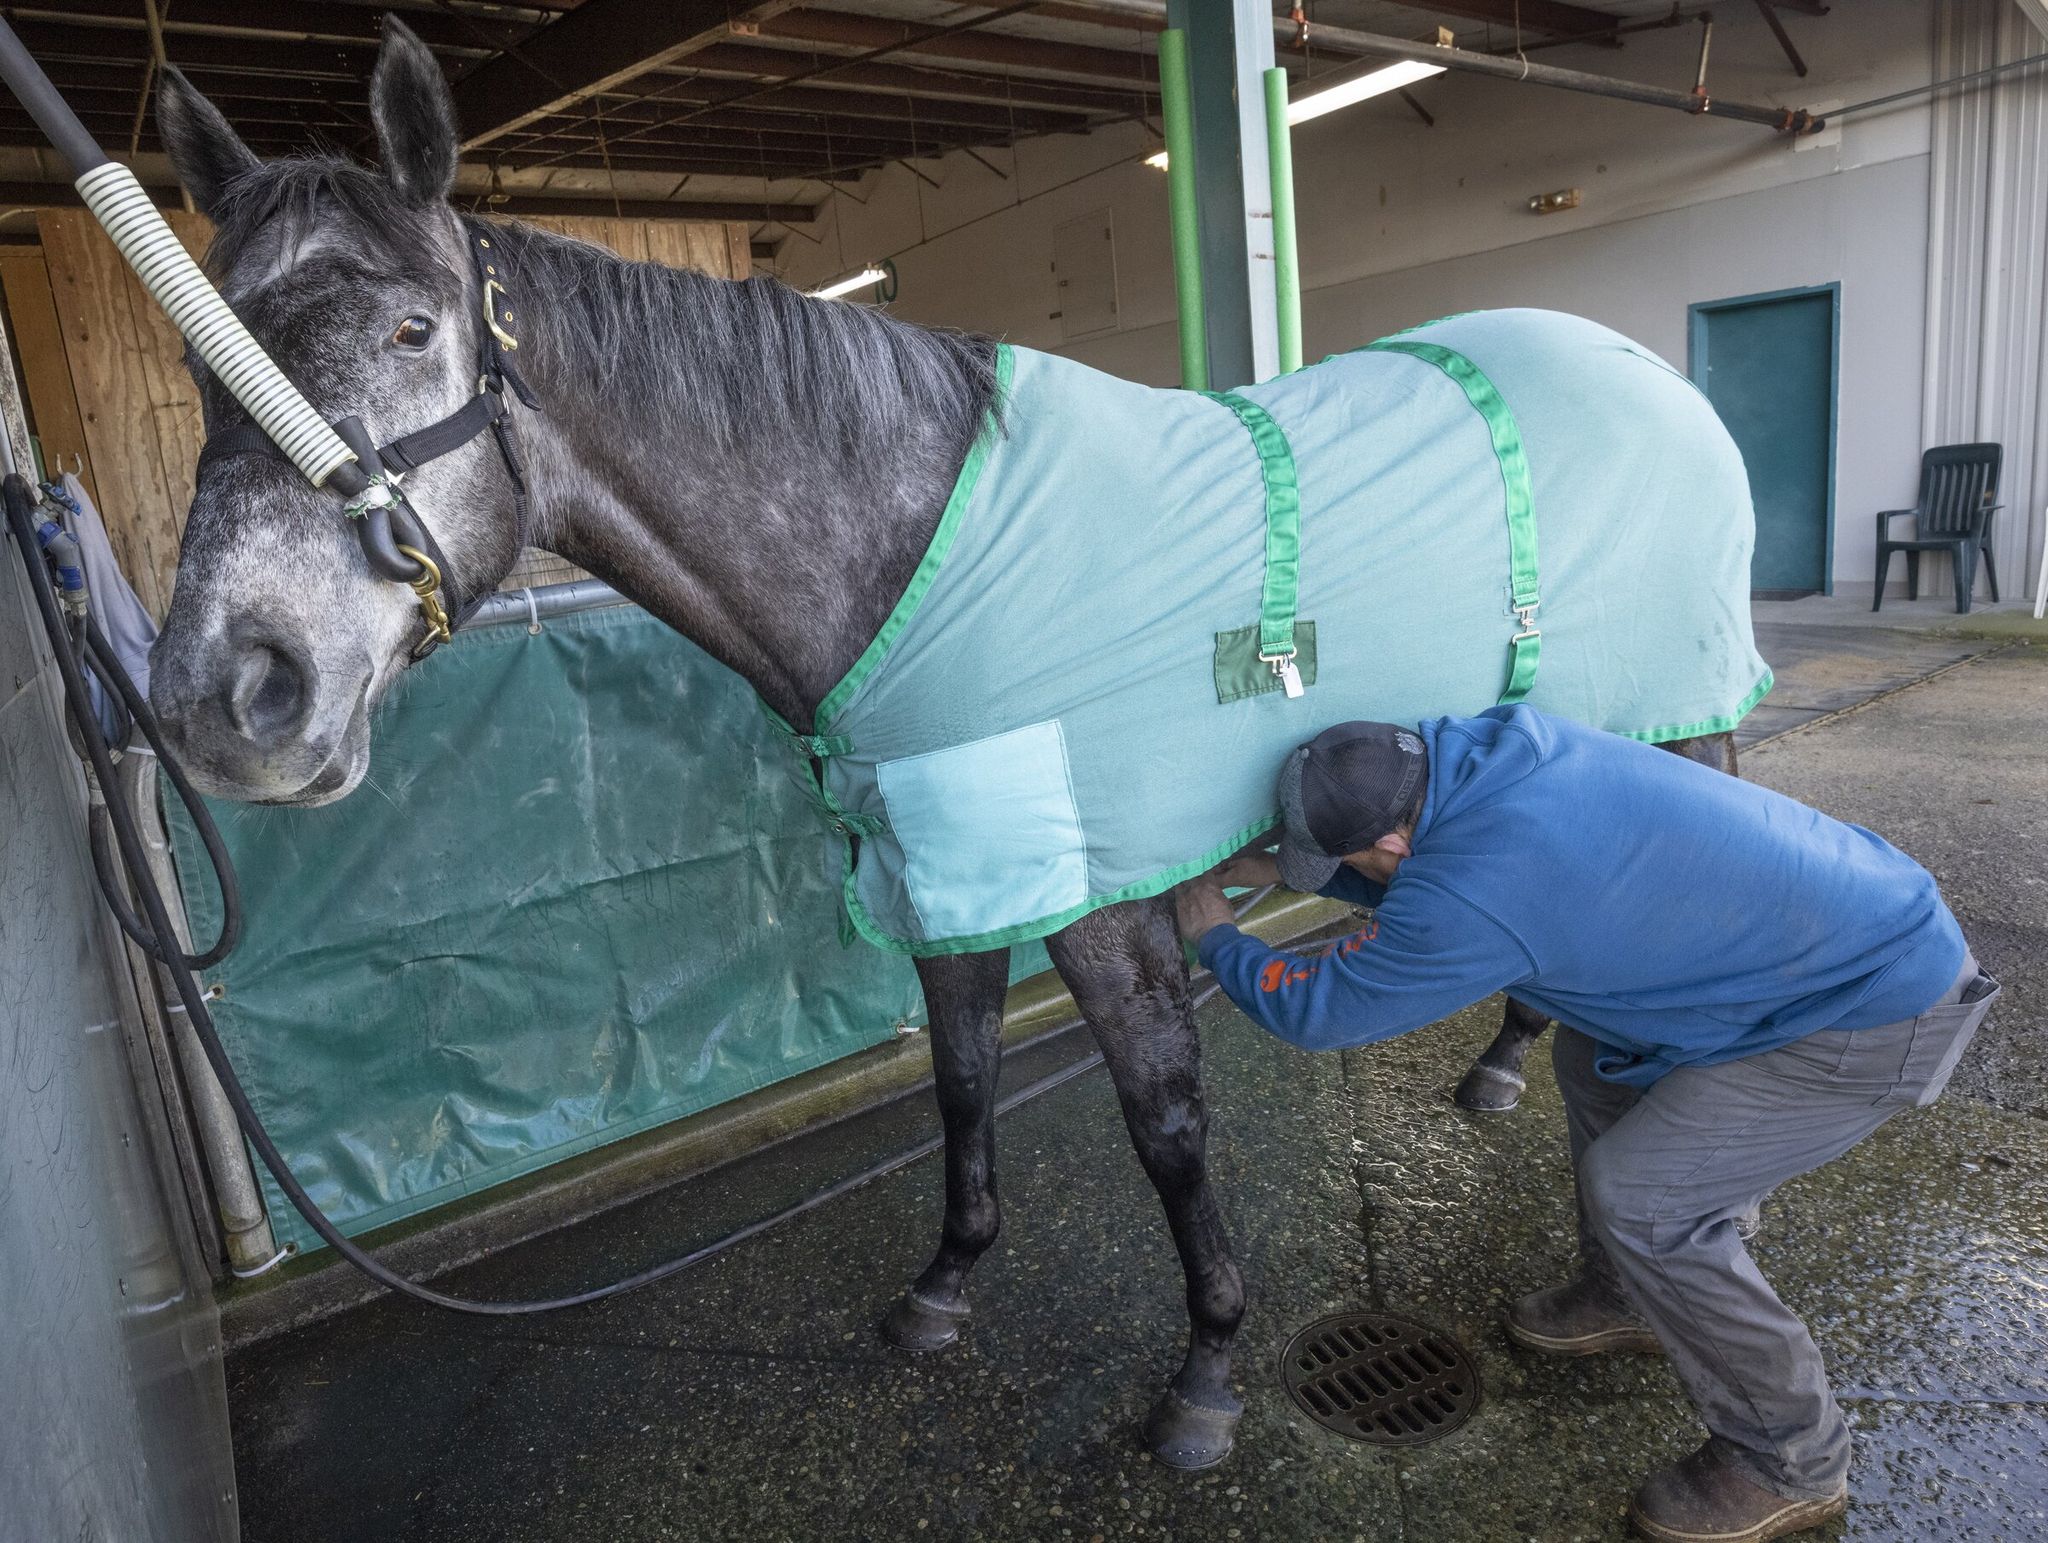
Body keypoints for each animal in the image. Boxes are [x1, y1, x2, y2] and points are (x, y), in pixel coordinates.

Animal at [144, 20, 1743, 1469]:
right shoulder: (940, 863)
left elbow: (1163, 1115)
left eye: (413, 330)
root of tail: (1633, 359)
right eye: (203, 362)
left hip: (1692, 712)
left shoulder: (1088, 891)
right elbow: (961, 1078)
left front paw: (1207, 1368)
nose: (228, 697)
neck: (910, 544)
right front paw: (942, 1287)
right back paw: (1507, 1057)